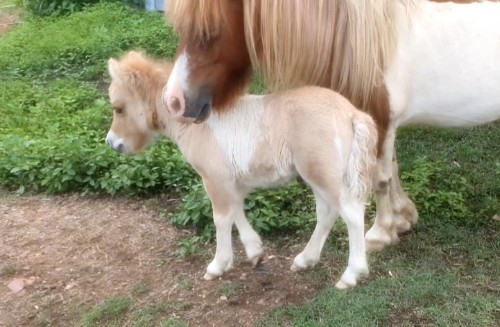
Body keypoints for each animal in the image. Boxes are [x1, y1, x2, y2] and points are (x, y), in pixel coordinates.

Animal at [106, 52, 378, 290]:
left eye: (118, 108)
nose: (112, 143)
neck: (197, 124)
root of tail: (352, 114)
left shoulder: (214, 179)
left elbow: (221, 218)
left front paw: (217, 265)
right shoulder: (230, 181)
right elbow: (236, 209)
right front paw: (255, 252)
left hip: (323, 174)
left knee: (351, 213)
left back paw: (351, 275)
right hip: (317, 176)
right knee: (327, 212)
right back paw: (304, 260)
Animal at [162, 0, 500, 252]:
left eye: (209, 31)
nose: (173, 101)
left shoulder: (378, 120)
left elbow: (379, 178)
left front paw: (380, 233)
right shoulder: (381, 124)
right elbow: (391, 169)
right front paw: (403, 217)